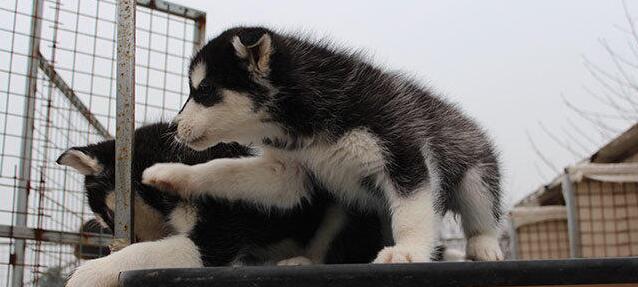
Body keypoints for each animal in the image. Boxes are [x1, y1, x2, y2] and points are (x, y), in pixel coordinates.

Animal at [58, 123, 390, 287]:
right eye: (108, 219)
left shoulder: (216, 232)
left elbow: (143, 253)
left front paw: (87, 276)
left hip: (343, 209)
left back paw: (301, 263)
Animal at [141, 26, 504, 264]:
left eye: (203, 90)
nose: (174, 127)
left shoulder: (401, 148)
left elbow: (412, 211)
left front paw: (409, 249)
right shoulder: (288, 170)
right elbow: (223, 169)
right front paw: (174, 174)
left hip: (475, 169)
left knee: (481, 209)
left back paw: (484, 245)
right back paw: (304, 262)